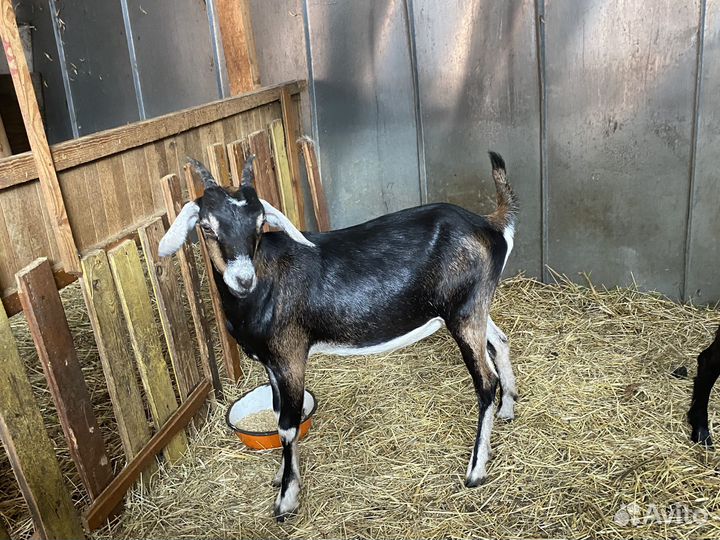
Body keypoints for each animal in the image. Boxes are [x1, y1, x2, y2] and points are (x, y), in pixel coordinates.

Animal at [159, 152, 518, 520]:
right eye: (206, 226)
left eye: (259, 224)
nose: (243, 279)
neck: (264, 284)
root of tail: (490, 224)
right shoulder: (271, 364)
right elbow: (276, 414)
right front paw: (281, 475)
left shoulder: (289, 356)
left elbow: (288, 423)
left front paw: (286, 499)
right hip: (473, 308)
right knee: (500, 342)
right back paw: (507, 408)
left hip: (464, 313)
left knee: (485, 381)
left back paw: (476, 469)